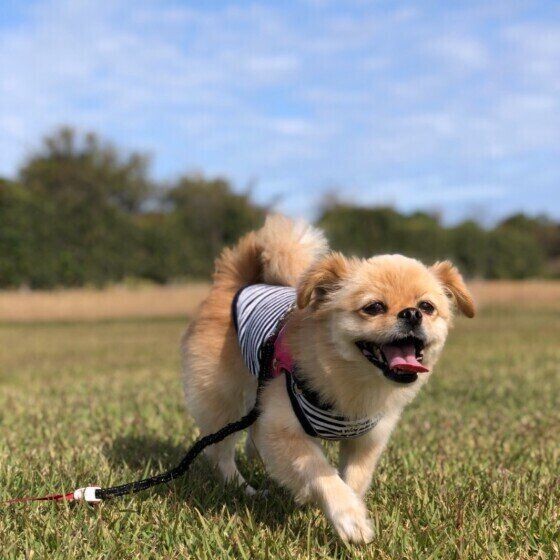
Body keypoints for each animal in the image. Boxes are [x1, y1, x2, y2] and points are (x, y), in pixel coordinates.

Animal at [182, 214, 474, 544]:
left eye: (427, 307)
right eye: (374, 307)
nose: (411, 313)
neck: (351, 379)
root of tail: (237, 282)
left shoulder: (366, 441)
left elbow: (353, 480)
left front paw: (349, 508)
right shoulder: (285, 430)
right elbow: (322, 474)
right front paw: (349, 519)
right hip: (224, 400)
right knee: (221, 453)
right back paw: (244, 489)